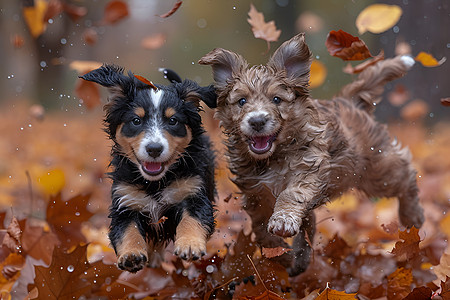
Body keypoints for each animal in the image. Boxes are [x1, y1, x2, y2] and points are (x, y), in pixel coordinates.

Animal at [81, 65, 217, 272]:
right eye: (136, 121)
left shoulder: (192, 192)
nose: (154, 149)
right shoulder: (125, 201)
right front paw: (131, 255)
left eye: (173, 121)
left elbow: (193, 219)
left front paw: (190, 244)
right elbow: (127, 231)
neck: (155, 183)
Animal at [199, 33, 424, 276]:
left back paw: (413, 215)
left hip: (377, 169)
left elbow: (290, 195)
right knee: (310, 222)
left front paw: (282, 222)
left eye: (277, 100)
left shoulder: (307, 169)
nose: (257, 121)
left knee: (406, 175)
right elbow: (260, 229)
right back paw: (300, 259)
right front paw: (280, 254)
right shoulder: (255, 194)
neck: (272, 158)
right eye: (241, 102)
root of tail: (349, 100)